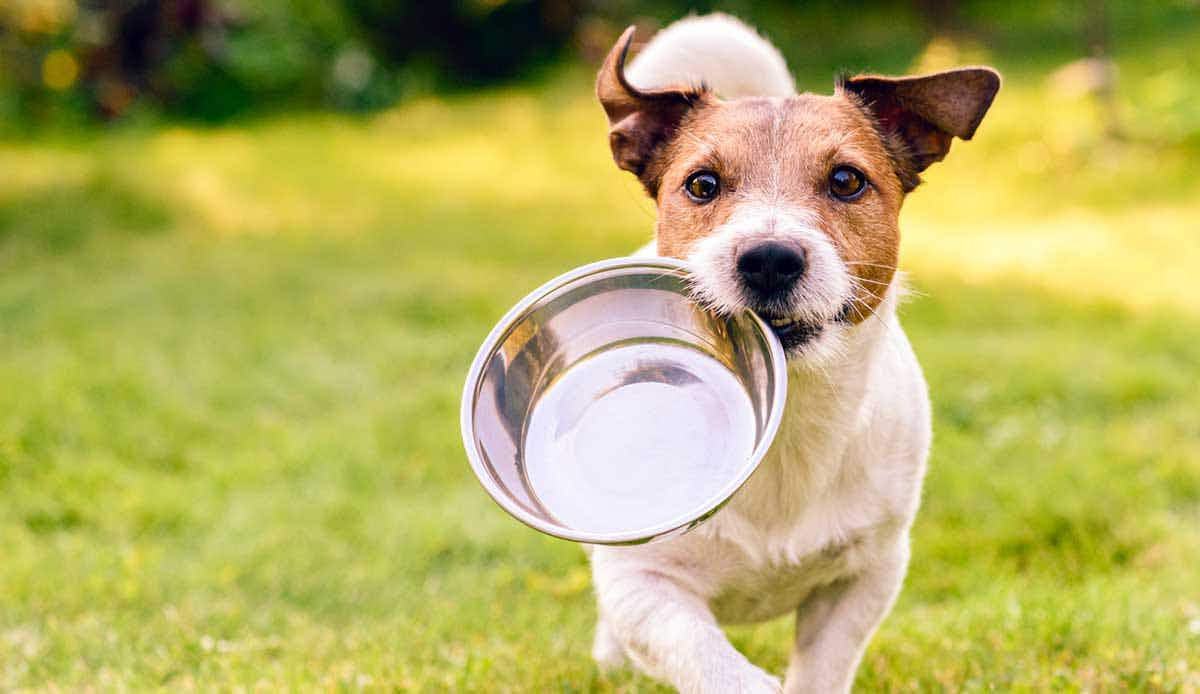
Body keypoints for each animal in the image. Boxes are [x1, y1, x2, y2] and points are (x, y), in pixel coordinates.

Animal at [585, 13, 998, 686]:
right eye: (702, 184)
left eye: (847, 180)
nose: (769, 259)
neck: (789, 422)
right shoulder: (644, 584)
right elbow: (708, 659)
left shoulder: (867, 576)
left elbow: (822, 667)